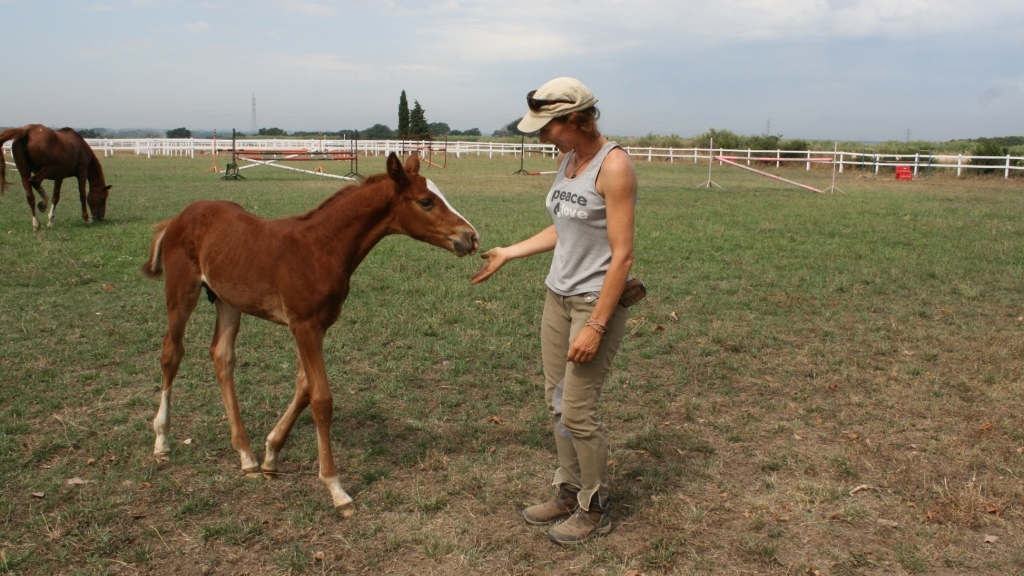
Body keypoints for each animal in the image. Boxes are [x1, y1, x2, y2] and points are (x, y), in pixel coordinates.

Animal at [140, 151, 479, 510]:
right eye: (426, 201)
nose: (471, 237)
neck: (320, 248)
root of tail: (178, 217)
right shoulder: (304, 326)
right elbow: (321, 399)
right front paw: (335, 487)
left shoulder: (317, 326)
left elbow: (303, 387)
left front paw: (270, 455)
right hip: (181, 291)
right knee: (172, 353)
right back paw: (162, 441)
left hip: (228, 300)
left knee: (222, 357)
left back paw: (246, 457)